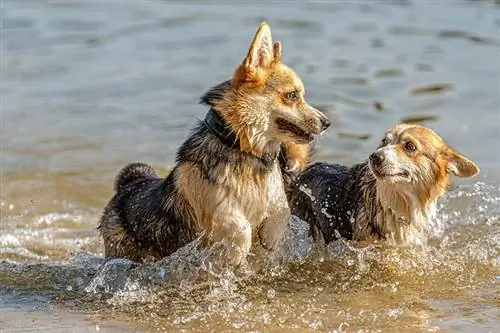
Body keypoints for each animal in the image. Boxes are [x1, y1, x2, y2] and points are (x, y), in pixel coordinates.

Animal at [97, 21, 332, 264]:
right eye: (292, 95)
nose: (327, 122)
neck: (245, 152)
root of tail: (130, 184)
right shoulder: (216, 210)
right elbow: (240, 227)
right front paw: (237, 252)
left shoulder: (278, 199)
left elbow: (281, 212)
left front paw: (270, 237)